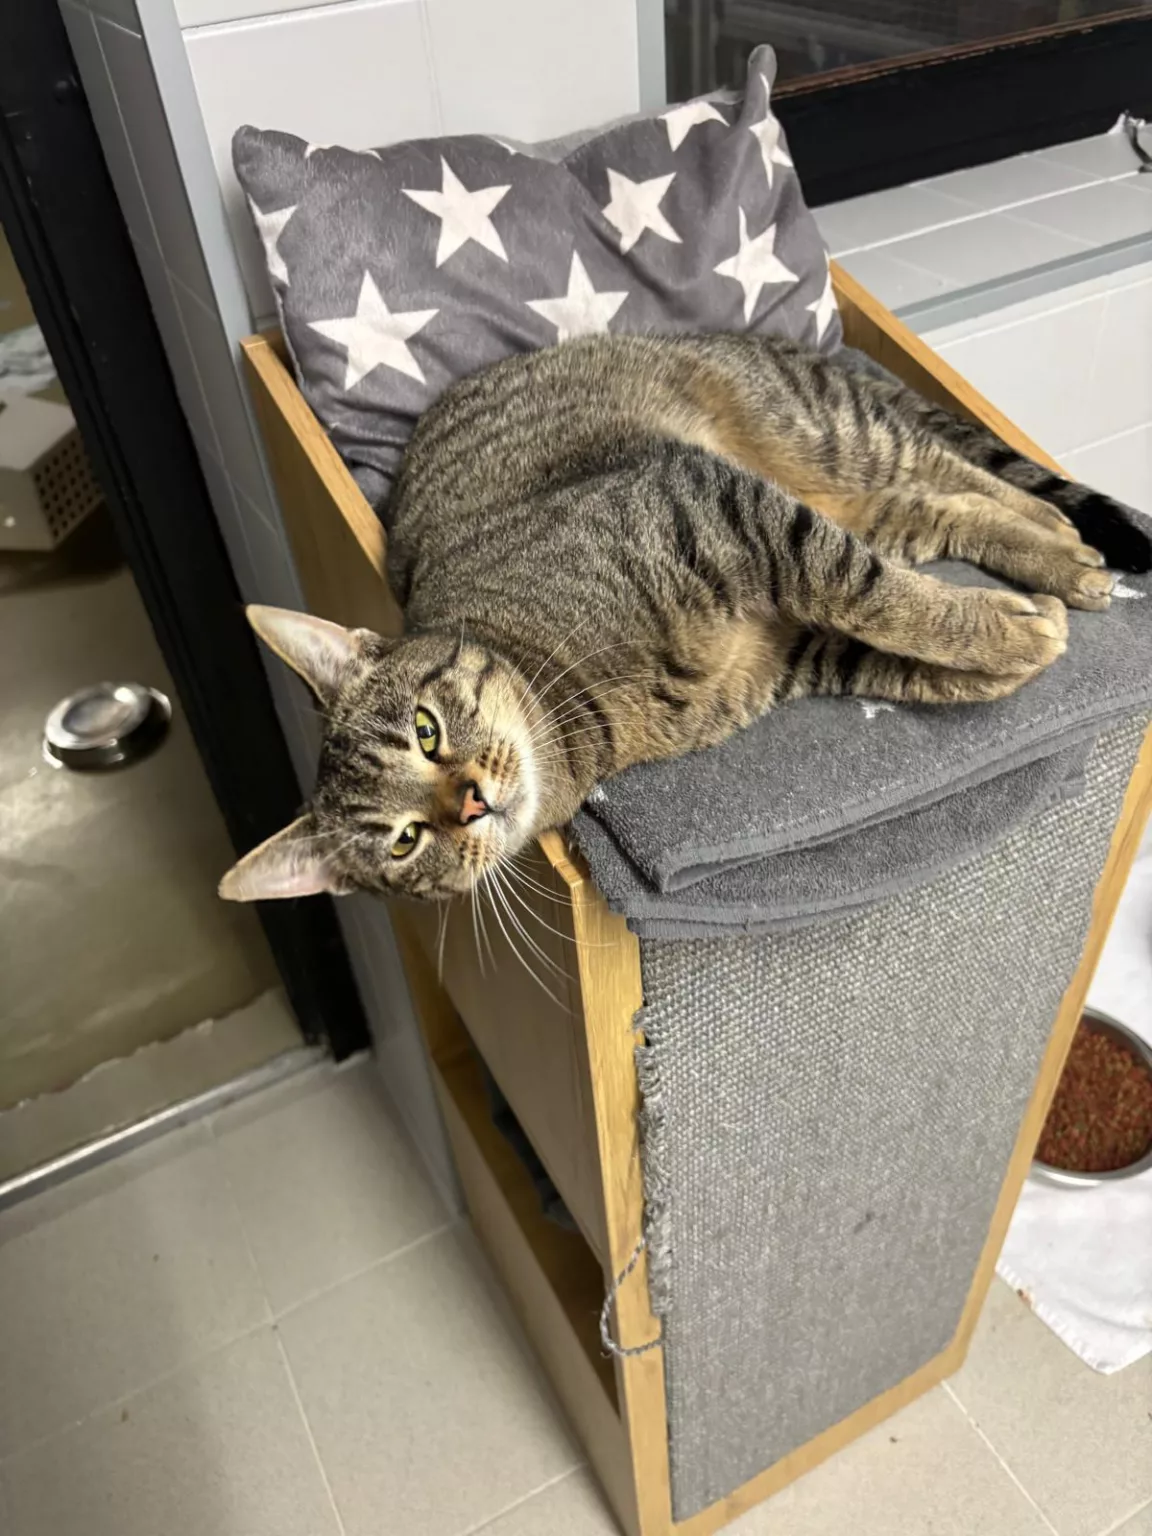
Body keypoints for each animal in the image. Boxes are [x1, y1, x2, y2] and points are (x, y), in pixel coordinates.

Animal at [219, 332, 1151, 904]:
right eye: (406, 841)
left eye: (425, 729)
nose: (472, 804)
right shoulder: (795, 645)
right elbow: (897, 650)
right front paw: (1010, 647)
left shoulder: (717, 508)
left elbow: (875, 594)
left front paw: (1007, 632)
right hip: (848, 493)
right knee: (938, 505)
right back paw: (1053, 554)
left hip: (824, 439)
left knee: (956, 470)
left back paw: (1064, 546)